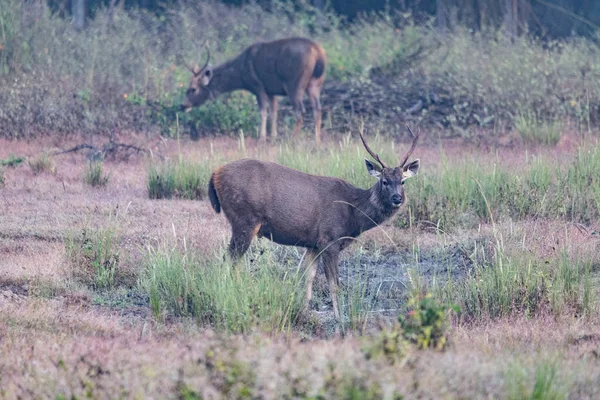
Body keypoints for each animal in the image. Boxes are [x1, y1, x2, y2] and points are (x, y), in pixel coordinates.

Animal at [180, 37, 326, 144]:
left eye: (193, 89)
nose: (182, 105)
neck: (241, 73)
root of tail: (318, 54)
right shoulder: (271, 90)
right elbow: (274, 112)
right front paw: (273, 137)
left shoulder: (257, 86)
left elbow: (263, 112)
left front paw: (262, 138)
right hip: (314, 84)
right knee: (317, 109)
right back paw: (317, 141)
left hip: (294, 83)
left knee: (301, 111)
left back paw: (292, 139)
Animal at [209, 127, 420, 322]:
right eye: (384, 181)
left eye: (402, 181)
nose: (397, 198)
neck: (353, 213)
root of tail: (214, 173)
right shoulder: (329, 239)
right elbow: (334, 285)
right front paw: (339, 319)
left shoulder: (313, 244)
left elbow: (308, 279)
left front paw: (304, 312)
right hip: (245, 219)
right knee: (229, 261)